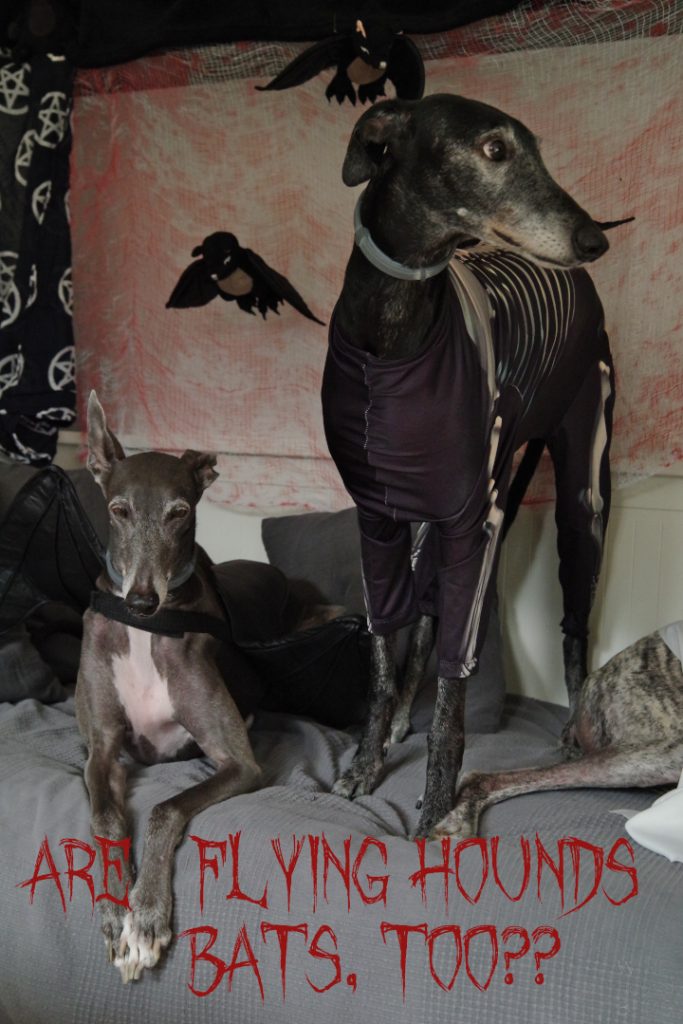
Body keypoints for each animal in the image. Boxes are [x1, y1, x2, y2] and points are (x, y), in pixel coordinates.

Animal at [76, 392, 334, 982]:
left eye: (180, 512)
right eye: (119, 510)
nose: (142, 601)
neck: (147, 632)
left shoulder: (240, 762)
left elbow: (166, 809)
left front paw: (146, 917)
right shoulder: (102, 750)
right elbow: (105, 816)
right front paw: (113, 911)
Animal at [323, 93, 616, 838]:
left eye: (536, 149)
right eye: (493, 150)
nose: (594, 240)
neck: (393, 332)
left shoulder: (469, 522)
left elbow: (455, 688)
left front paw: (434, 806)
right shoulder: (378, 522)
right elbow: (385, 648)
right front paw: (368, 759)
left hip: (578, 486)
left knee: (577, 619)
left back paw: (576, 728)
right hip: (453, 512)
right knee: (427, 620)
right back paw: (404, 713)